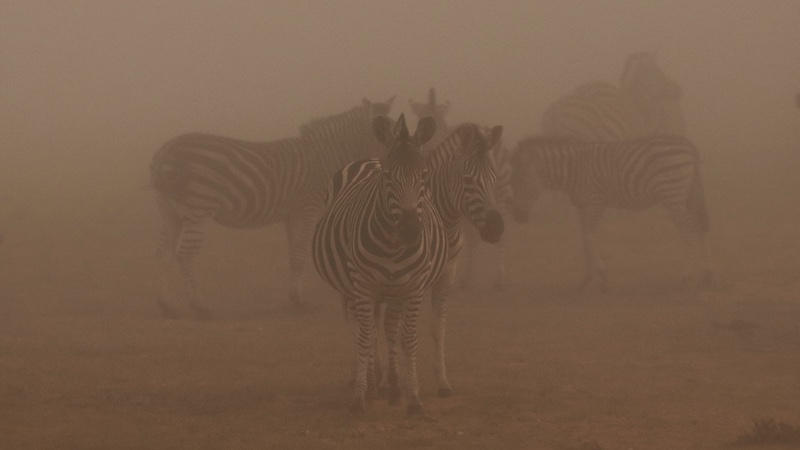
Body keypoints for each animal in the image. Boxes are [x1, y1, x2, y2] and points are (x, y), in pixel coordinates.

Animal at [150, 97, 394, 318]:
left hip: (168, 210)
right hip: (198, 208)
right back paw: (200, 306)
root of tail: (166, 150)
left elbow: (293, 254)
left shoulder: (291, 214)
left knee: (164, 252)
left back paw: (166, 305)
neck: (325, 157)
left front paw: (294, 298)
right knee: (185, 255)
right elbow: (300, 254)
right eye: (384, 135)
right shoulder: (307, 209)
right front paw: (299, 302)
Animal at [312, 114, 448, 416]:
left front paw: (414, 399)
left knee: (387, 328)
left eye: (423, 176)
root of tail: (371, 158)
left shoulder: (413, 286)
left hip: (392, 291)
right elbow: (364, 338)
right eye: (387, 177)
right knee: (363, 328)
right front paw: (359, 400)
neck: (393, 246)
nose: (410, 231)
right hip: (352, 288)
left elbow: (407, 339)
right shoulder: (362, 285)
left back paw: (393, 386)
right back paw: (372, 384)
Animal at [508, 134, 712, 292]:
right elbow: (584, 238)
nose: (517, 217)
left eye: (523, 182)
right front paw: (586, 280)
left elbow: (589, 237)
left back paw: (685, 278)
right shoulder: (584, 206)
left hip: (672, 195)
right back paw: (706, 277)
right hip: (688, 194)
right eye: (512, 182)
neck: (574, 170)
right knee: (699, 228)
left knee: (688, 231)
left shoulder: (593, 202)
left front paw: (602, 278)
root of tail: (687, 144)